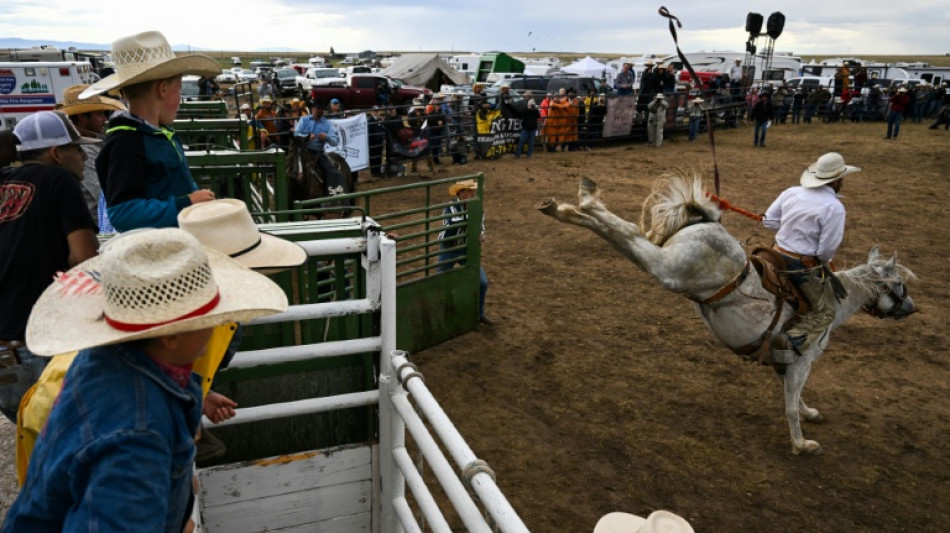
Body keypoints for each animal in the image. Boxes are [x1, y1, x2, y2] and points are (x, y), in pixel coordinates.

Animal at [540, 174, 920, 454]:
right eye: (899, 284)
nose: (911, 308)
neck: (837, 302)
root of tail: (708, 222)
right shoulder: (803, 357)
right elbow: (791, 402)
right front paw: (802, 444)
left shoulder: (784, 361)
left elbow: (795, 395)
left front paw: (809, 412)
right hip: (669, 270)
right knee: (631, 234)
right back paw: (580, 202)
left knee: (622, 232)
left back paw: (564, 207)